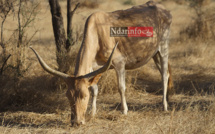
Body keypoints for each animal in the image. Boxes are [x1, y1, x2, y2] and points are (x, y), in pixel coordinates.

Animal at [29, 1, 173, 125]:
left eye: (84, 96)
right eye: (68, 96)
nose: (76, 122)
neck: (98, 33)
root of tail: (163, 9)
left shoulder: (119, 63)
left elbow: (121, 87)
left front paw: (124, 111)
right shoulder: (93, 68)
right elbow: (94, 89)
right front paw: (92, 113)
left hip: (163, 48)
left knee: (164, 76)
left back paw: (164, 106)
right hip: (154, 54)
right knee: (164, 73)